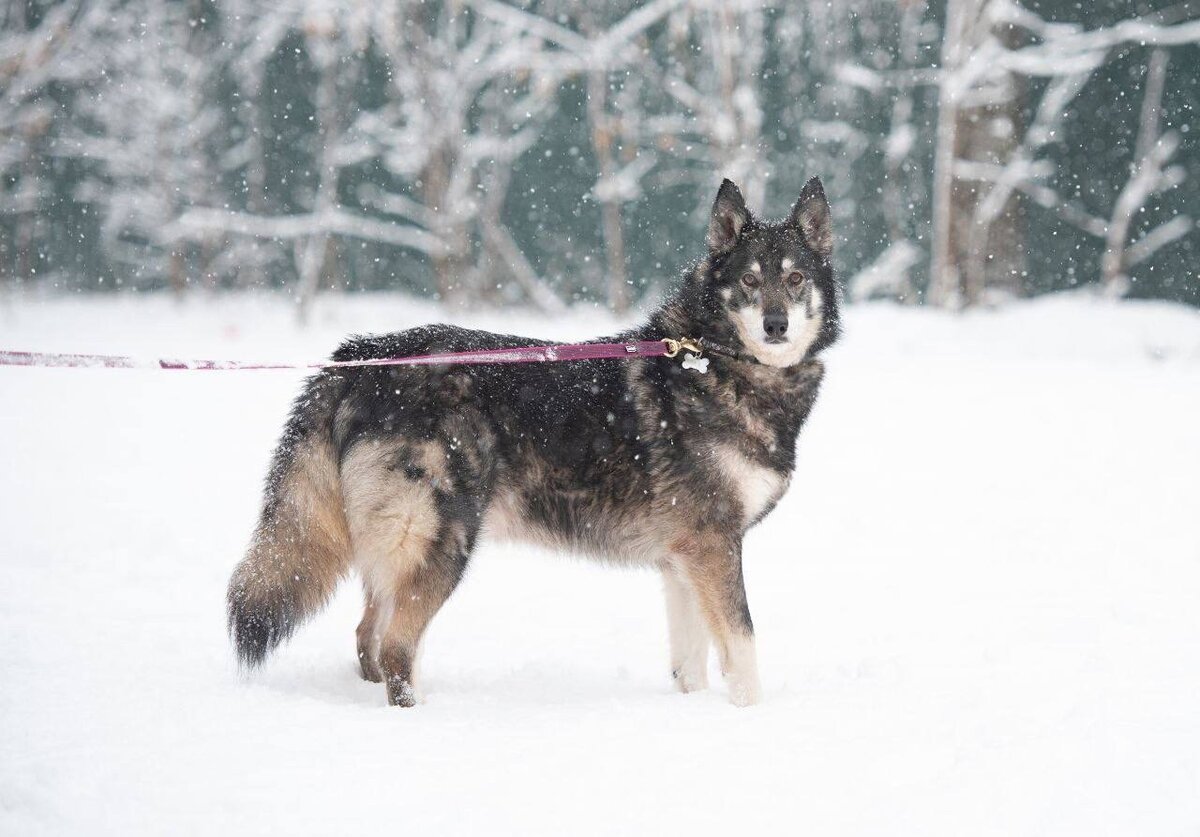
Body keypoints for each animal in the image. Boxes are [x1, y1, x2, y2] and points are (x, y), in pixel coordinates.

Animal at [229, 176, 840, 705]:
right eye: (749, 281)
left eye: (795, 280)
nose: (777, 325)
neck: (707, 358)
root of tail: (359, 358)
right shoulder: (715, 548)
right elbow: (743, 645)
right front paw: (751, 716)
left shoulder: (683, 559)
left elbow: (691, 664)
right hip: (442, 540)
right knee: (397, 647)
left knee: (369, 639)